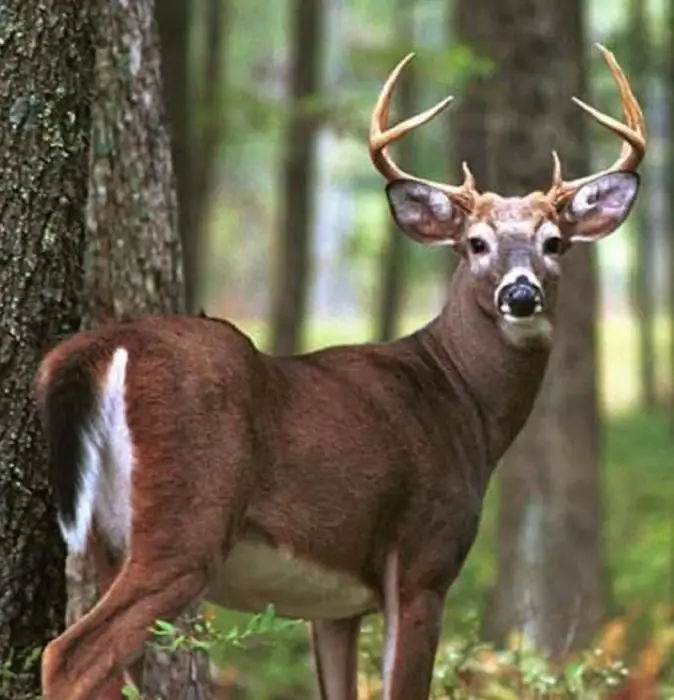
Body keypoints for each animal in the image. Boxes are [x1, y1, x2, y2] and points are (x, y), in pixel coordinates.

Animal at [39, 43, 644, 700]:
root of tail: (104, 346)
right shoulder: (424, 559)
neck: (462, 403)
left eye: (554, 242)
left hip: (105, 540)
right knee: (72, 654)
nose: (521, 294)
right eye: (476, 243)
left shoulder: (336, 607)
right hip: (185, 522)